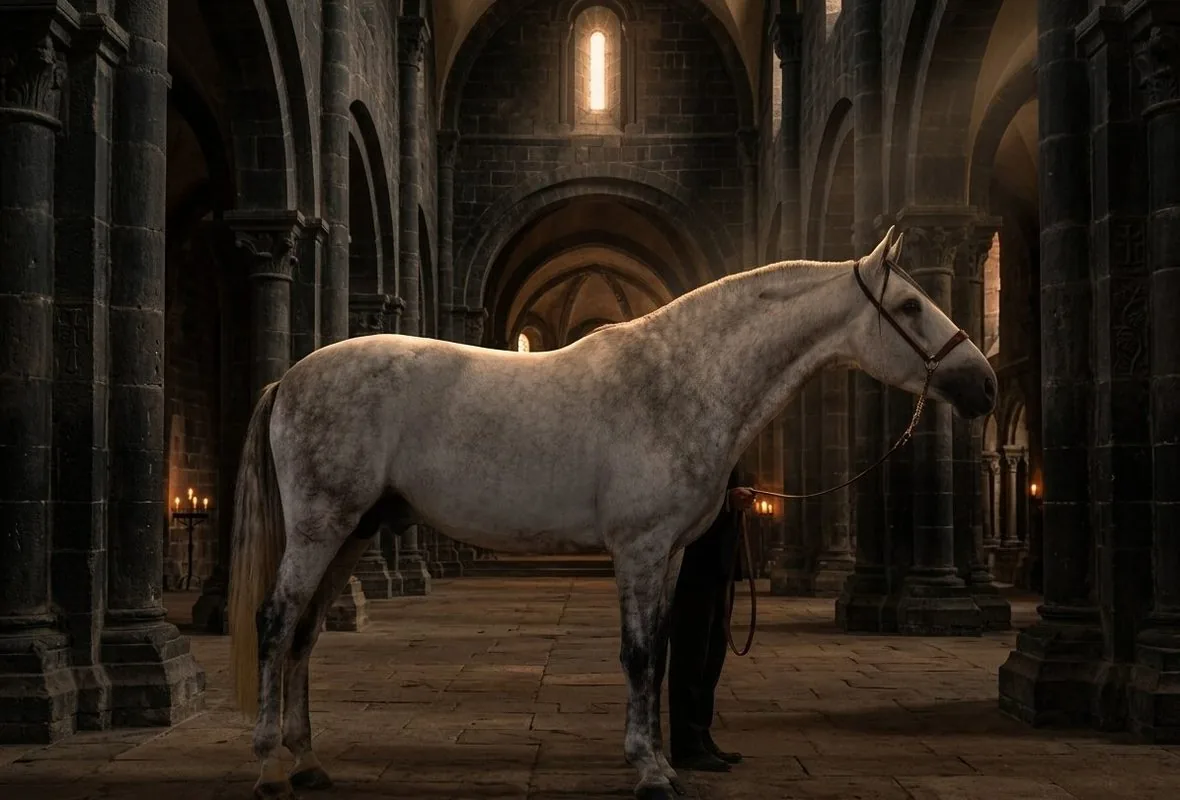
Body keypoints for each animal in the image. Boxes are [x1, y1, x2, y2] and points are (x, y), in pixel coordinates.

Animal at [227, 226, 996, 799]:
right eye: (909, 307)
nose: (983, 385)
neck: (681, 379)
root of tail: (289, 378)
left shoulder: (673, 553)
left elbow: (659, 650)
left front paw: (661, 760)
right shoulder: (640, 547)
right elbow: (637, 655)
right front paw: (651, 772)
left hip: (353, 532)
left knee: (305, 633)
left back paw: (308, 763)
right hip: (320, 528)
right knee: (277, 622)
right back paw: (268, 767)